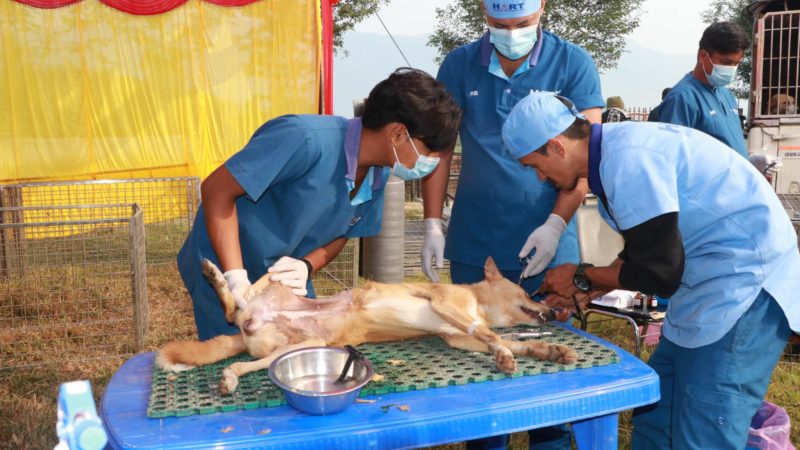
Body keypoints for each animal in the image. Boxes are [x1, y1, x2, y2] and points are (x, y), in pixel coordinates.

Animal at [156, 256, 580, 394]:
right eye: (527, 290)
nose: (554, 309)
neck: (477, 302)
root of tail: (248, 328)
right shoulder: (445, 304)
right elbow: (491, 335)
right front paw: (506, 352)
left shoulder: (456, 338)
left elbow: (499, 340)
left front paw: (548, 350)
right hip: (271, 286)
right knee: (236, 301)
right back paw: (215, 275)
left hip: (294, 348)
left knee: (243, 353)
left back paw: (230, 375)